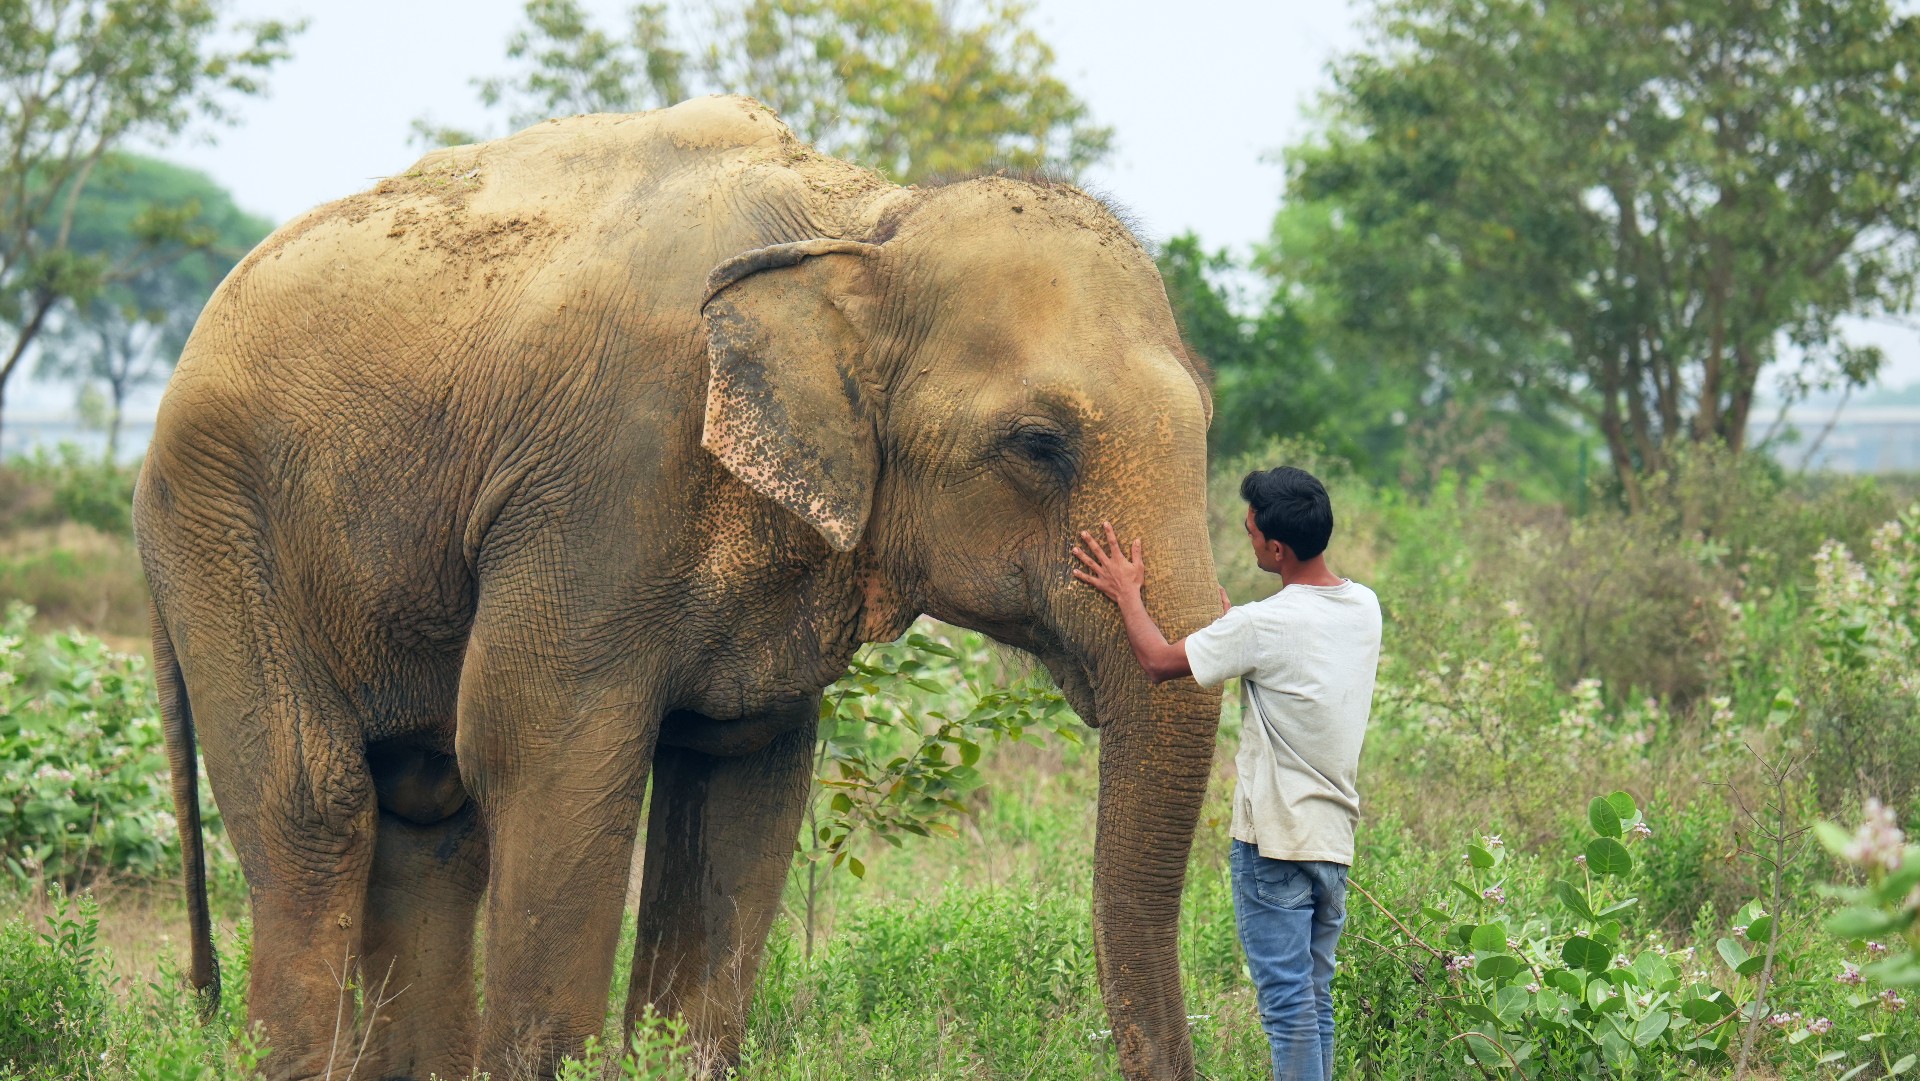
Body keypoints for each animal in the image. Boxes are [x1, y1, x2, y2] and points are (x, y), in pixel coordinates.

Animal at [135, 95, 1221, 1081]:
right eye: (1039, 444)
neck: (864, 220)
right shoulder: (598, 484)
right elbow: (545, 750)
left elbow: (740, 773)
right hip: (222, 532)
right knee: (316, 806)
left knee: (427, 817)